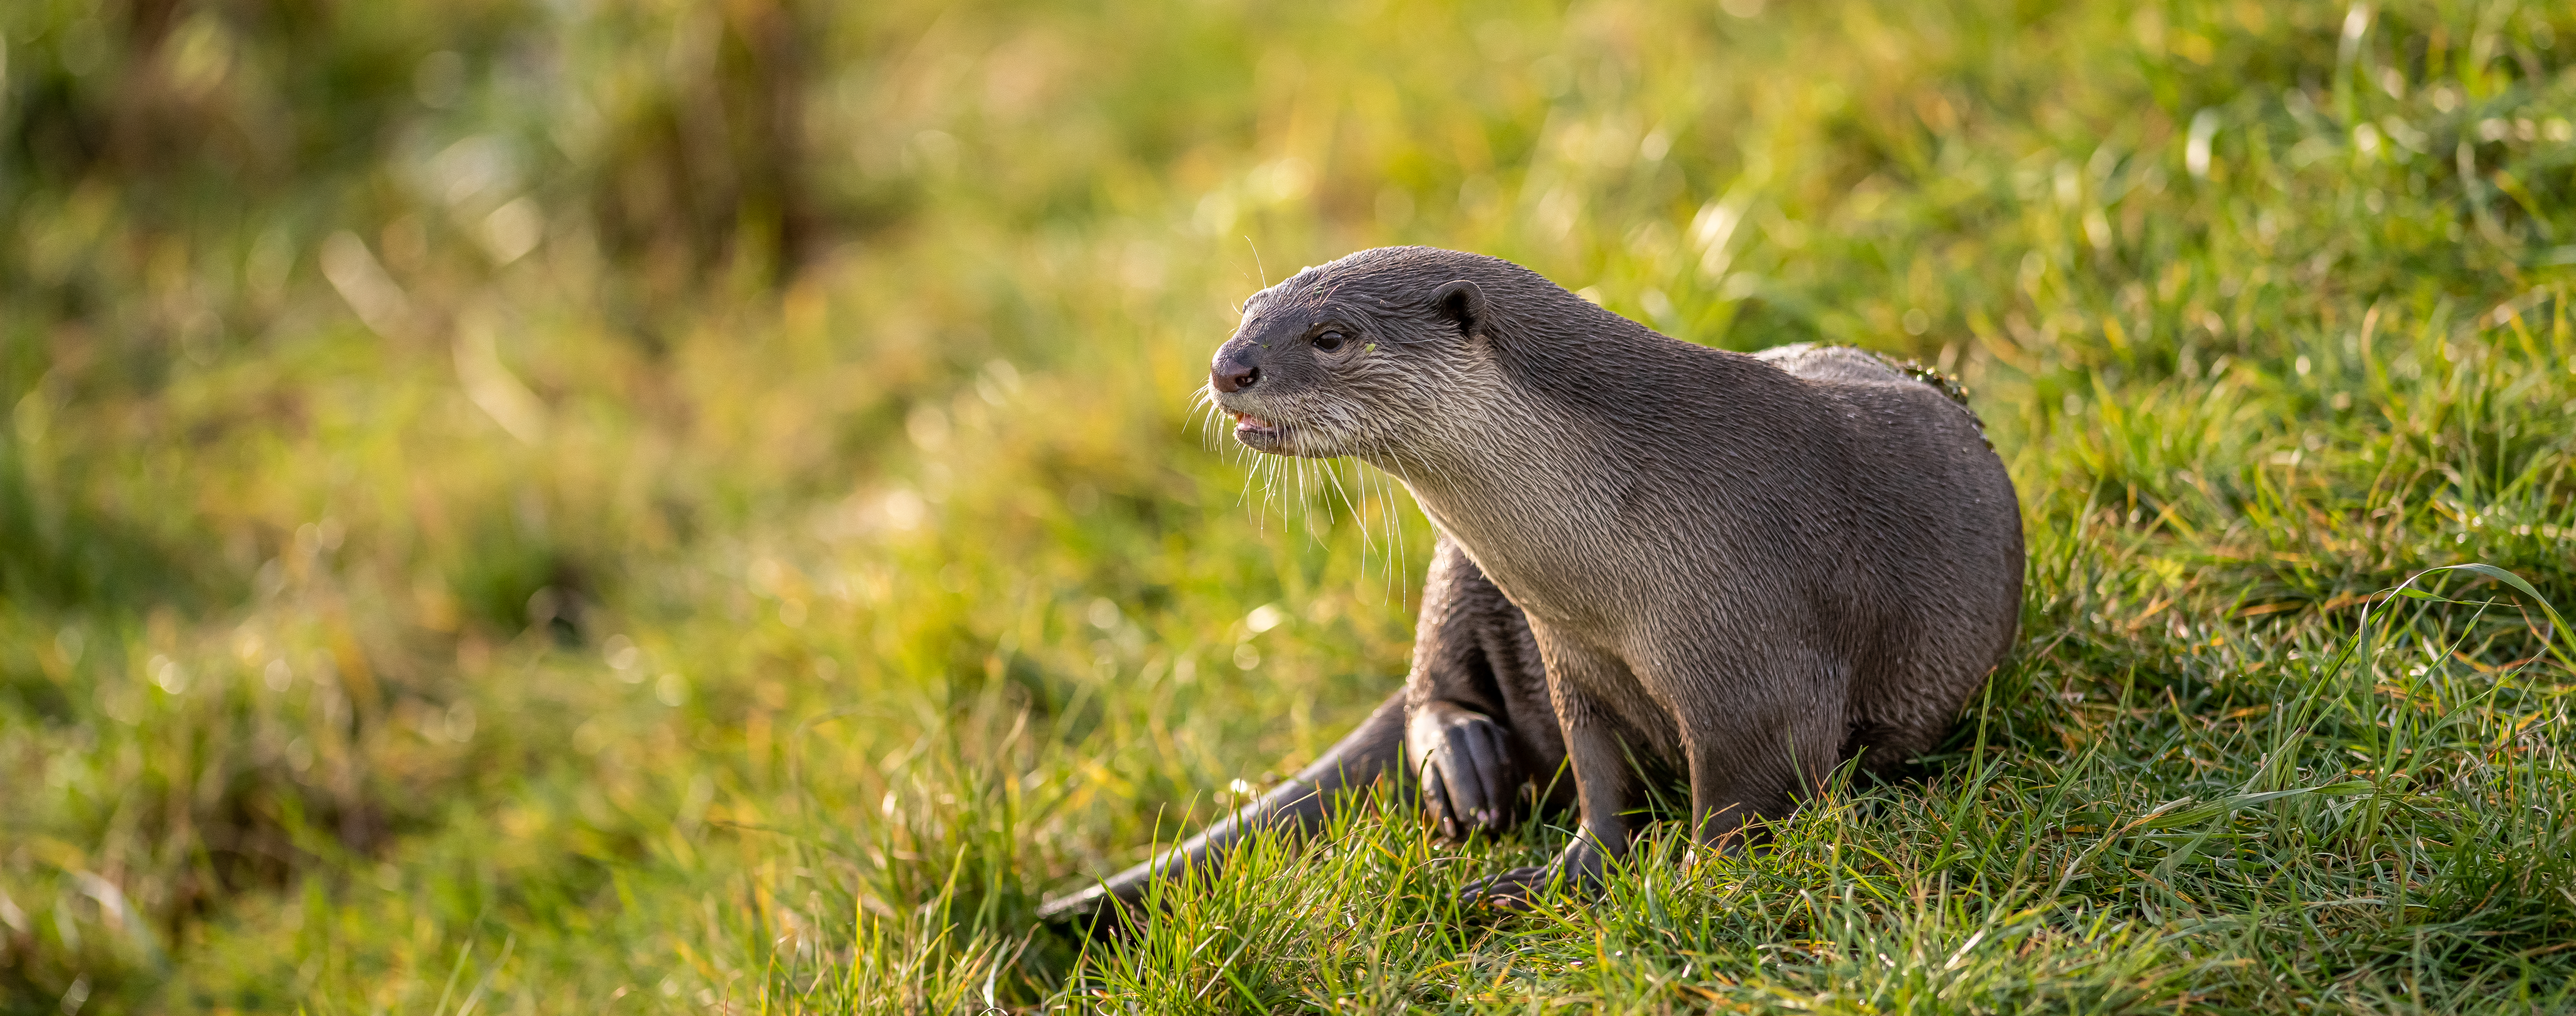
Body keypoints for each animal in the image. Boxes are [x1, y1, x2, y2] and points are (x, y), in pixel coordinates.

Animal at [1035, 244, 2019, 921]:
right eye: (1247, 310)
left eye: (1330, 336)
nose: (1228, 367)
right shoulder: (1568, 656)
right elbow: (1597, 780)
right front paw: (1559, 875)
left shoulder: (1759, 673)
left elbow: (1742, 804)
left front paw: (1692, 890)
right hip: (1461, 567)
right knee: (1429, 676)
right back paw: (1462, 760)